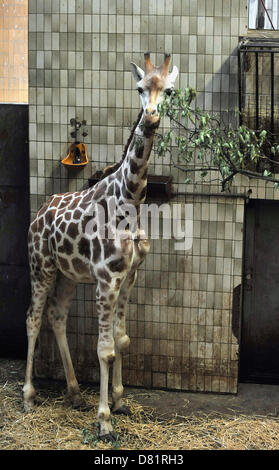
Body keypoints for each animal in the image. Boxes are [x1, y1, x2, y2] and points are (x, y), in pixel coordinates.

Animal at [23, 52, 178, 440]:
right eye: (139, 87)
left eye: (169, 91)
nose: (150, 118)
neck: (131, 199)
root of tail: (38, 215)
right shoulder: (107, 279)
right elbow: (105, 349)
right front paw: (105, 419)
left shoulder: (130, 276)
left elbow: (122, 340)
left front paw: (120, 402)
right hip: (40, 266)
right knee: (33, 318)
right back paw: (29, 396)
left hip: (67, 275)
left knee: (56, 316)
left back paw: (75, 392)